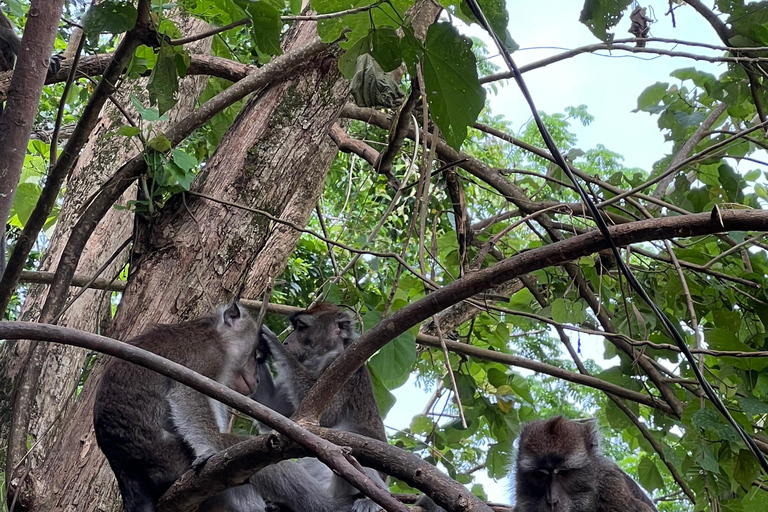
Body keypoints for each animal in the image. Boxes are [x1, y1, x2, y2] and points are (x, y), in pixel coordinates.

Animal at [92, 304, 260, 512]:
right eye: (254, 353)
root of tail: (126, 470)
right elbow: (187, 393)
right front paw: (209, 450)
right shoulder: (208, 356)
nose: (257, 378)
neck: (217, 336)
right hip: (169, 461)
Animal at [256, 304, 390, 512]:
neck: (320, 357)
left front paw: (272, 341)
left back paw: (371, 500)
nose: (287, 341)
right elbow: (270, 408)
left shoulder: (343, 367)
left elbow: (327, 415)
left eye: (302, 327)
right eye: (295, 327)